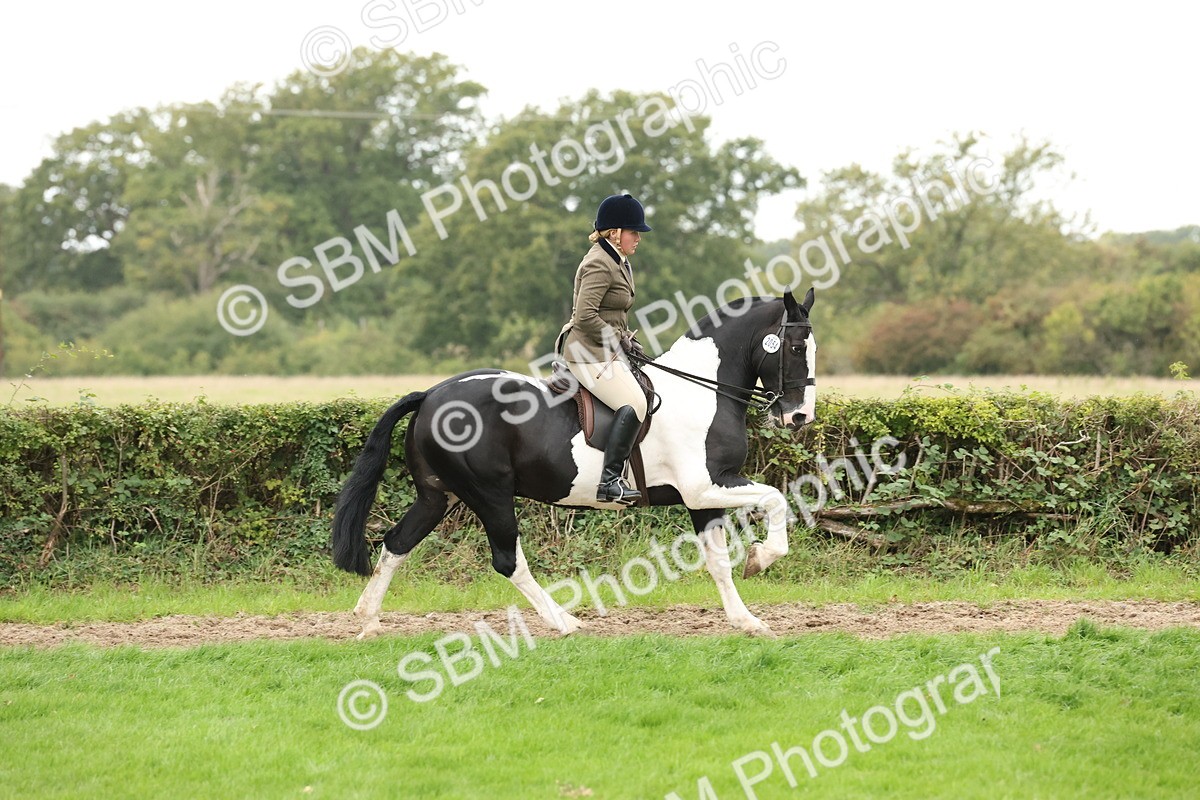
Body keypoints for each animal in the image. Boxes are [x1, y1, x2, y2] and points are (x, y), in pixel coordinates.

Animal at [331, 288, 817, 638]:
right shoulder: (706, 486)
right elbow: (776, 500)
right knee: (508, 561)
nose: (799, 417)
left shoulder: (704, 497)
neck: (704, 390)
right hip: (489, 493)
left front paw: (747, 620)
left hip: (439, 495)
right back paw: (565, 622)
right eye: (795, 347)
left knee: (397, 543)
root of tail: (431, 394)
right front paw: (761, 558)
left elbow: (717, 561)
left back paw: (368, 620)